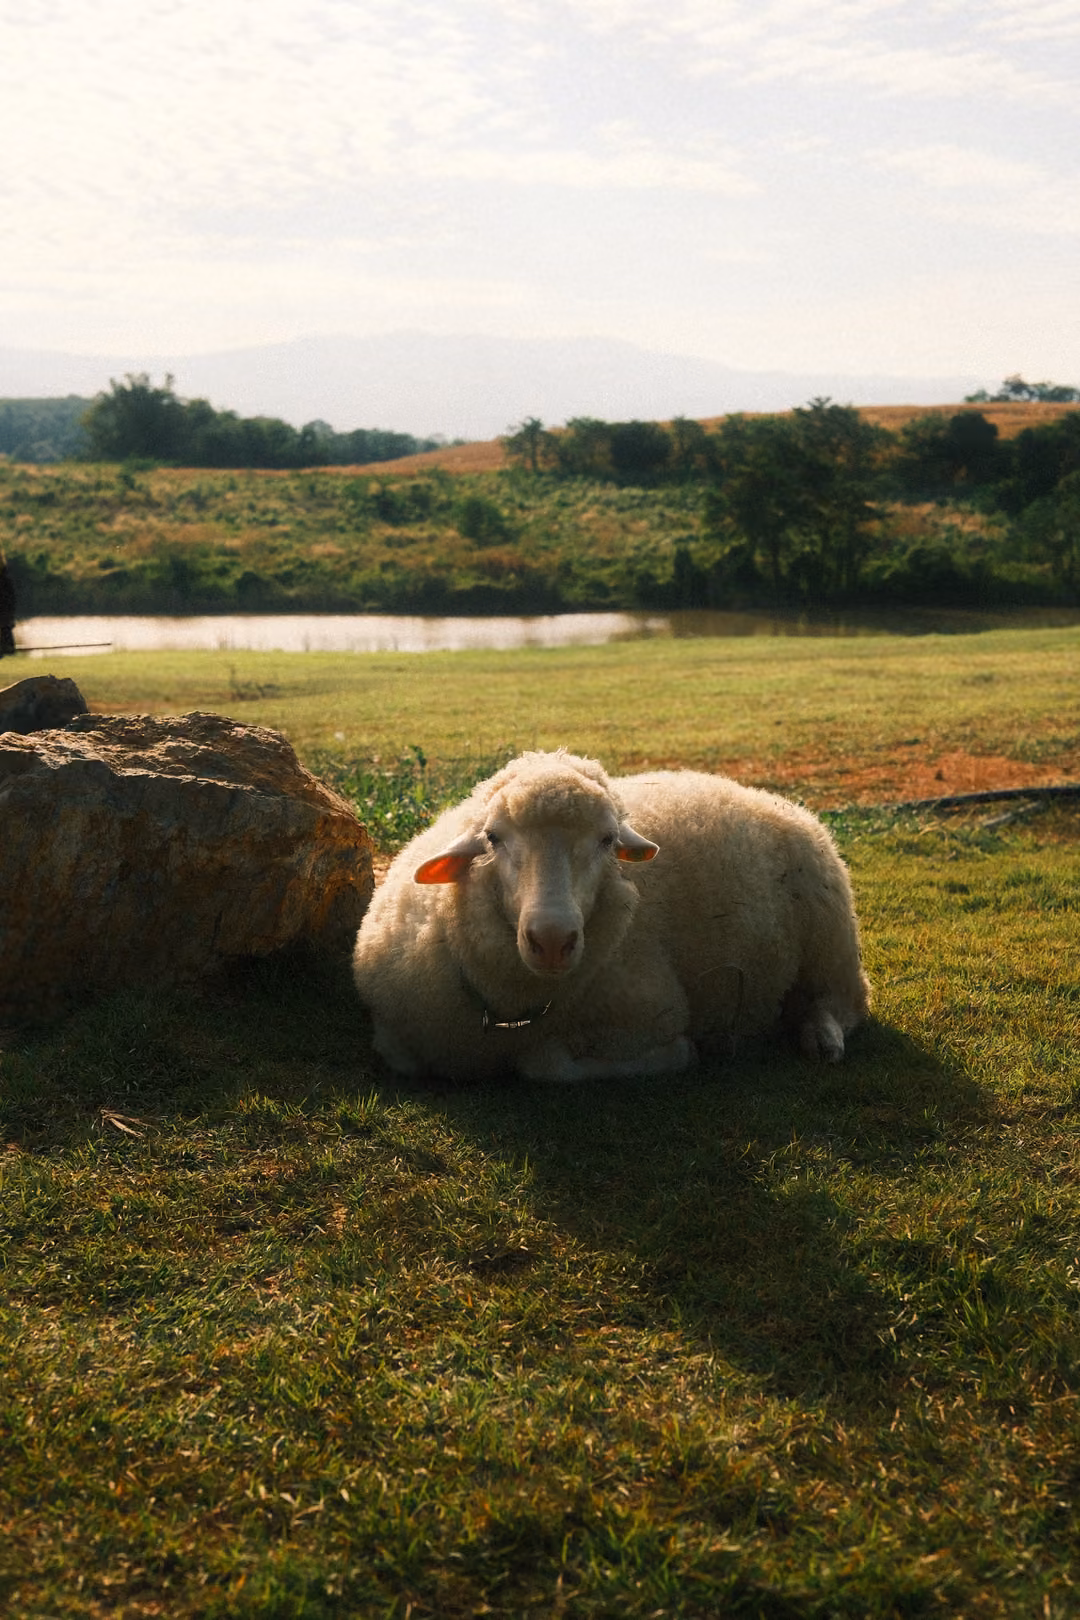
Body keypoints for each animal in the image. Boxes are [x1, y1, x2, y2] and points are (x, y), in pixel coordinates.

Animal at [352, 750, 870, 1083]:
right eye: (493, 838)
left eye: (607, 841)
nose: (553, 940)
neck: (504, 1019)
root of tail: (772, 798)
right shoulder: (393, 1034)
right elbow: (401, 1057)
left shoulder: (650, 1010)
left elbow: (545, 1065)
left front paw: (681, 1053)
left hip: (831, 943)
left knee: (844, 1003)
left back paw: (821, 1038)